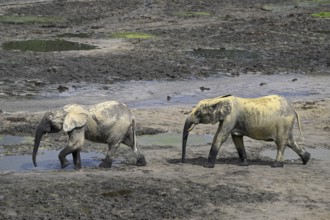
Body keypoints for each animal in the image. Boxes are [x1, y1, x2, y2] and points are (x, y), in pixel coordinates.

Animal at [182, 93, 310, 168]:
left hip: (284, 122)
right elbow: (236, 138)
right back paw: (306, 159)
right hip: (287, 124)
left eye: (198, 112)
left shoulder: (231, 117)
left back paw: (276, 165)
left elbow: (220, 136)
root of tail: (293, 109)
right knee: (290, 141)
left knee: (281, 142)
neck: (218, 100)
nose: (182, 162)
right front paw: (244, 165)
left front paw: (207, 166)